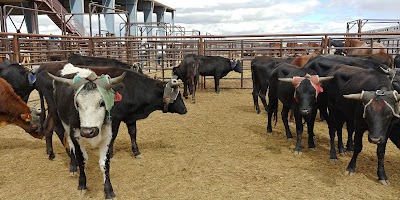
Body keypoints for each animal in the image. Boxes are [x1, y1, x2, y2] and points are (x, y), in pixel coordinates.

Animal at [47, 65, 125, 199]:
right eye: (77, 104)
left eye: (102, 102)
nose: (88, 132)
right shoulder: (76, 135)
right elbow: (81, 159)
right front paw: (82, 185)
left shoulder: (108, 137)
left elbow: (104, 164)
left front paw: (109, 190)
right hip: (64, 123)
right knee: (70, 144)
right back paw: (73, 167)